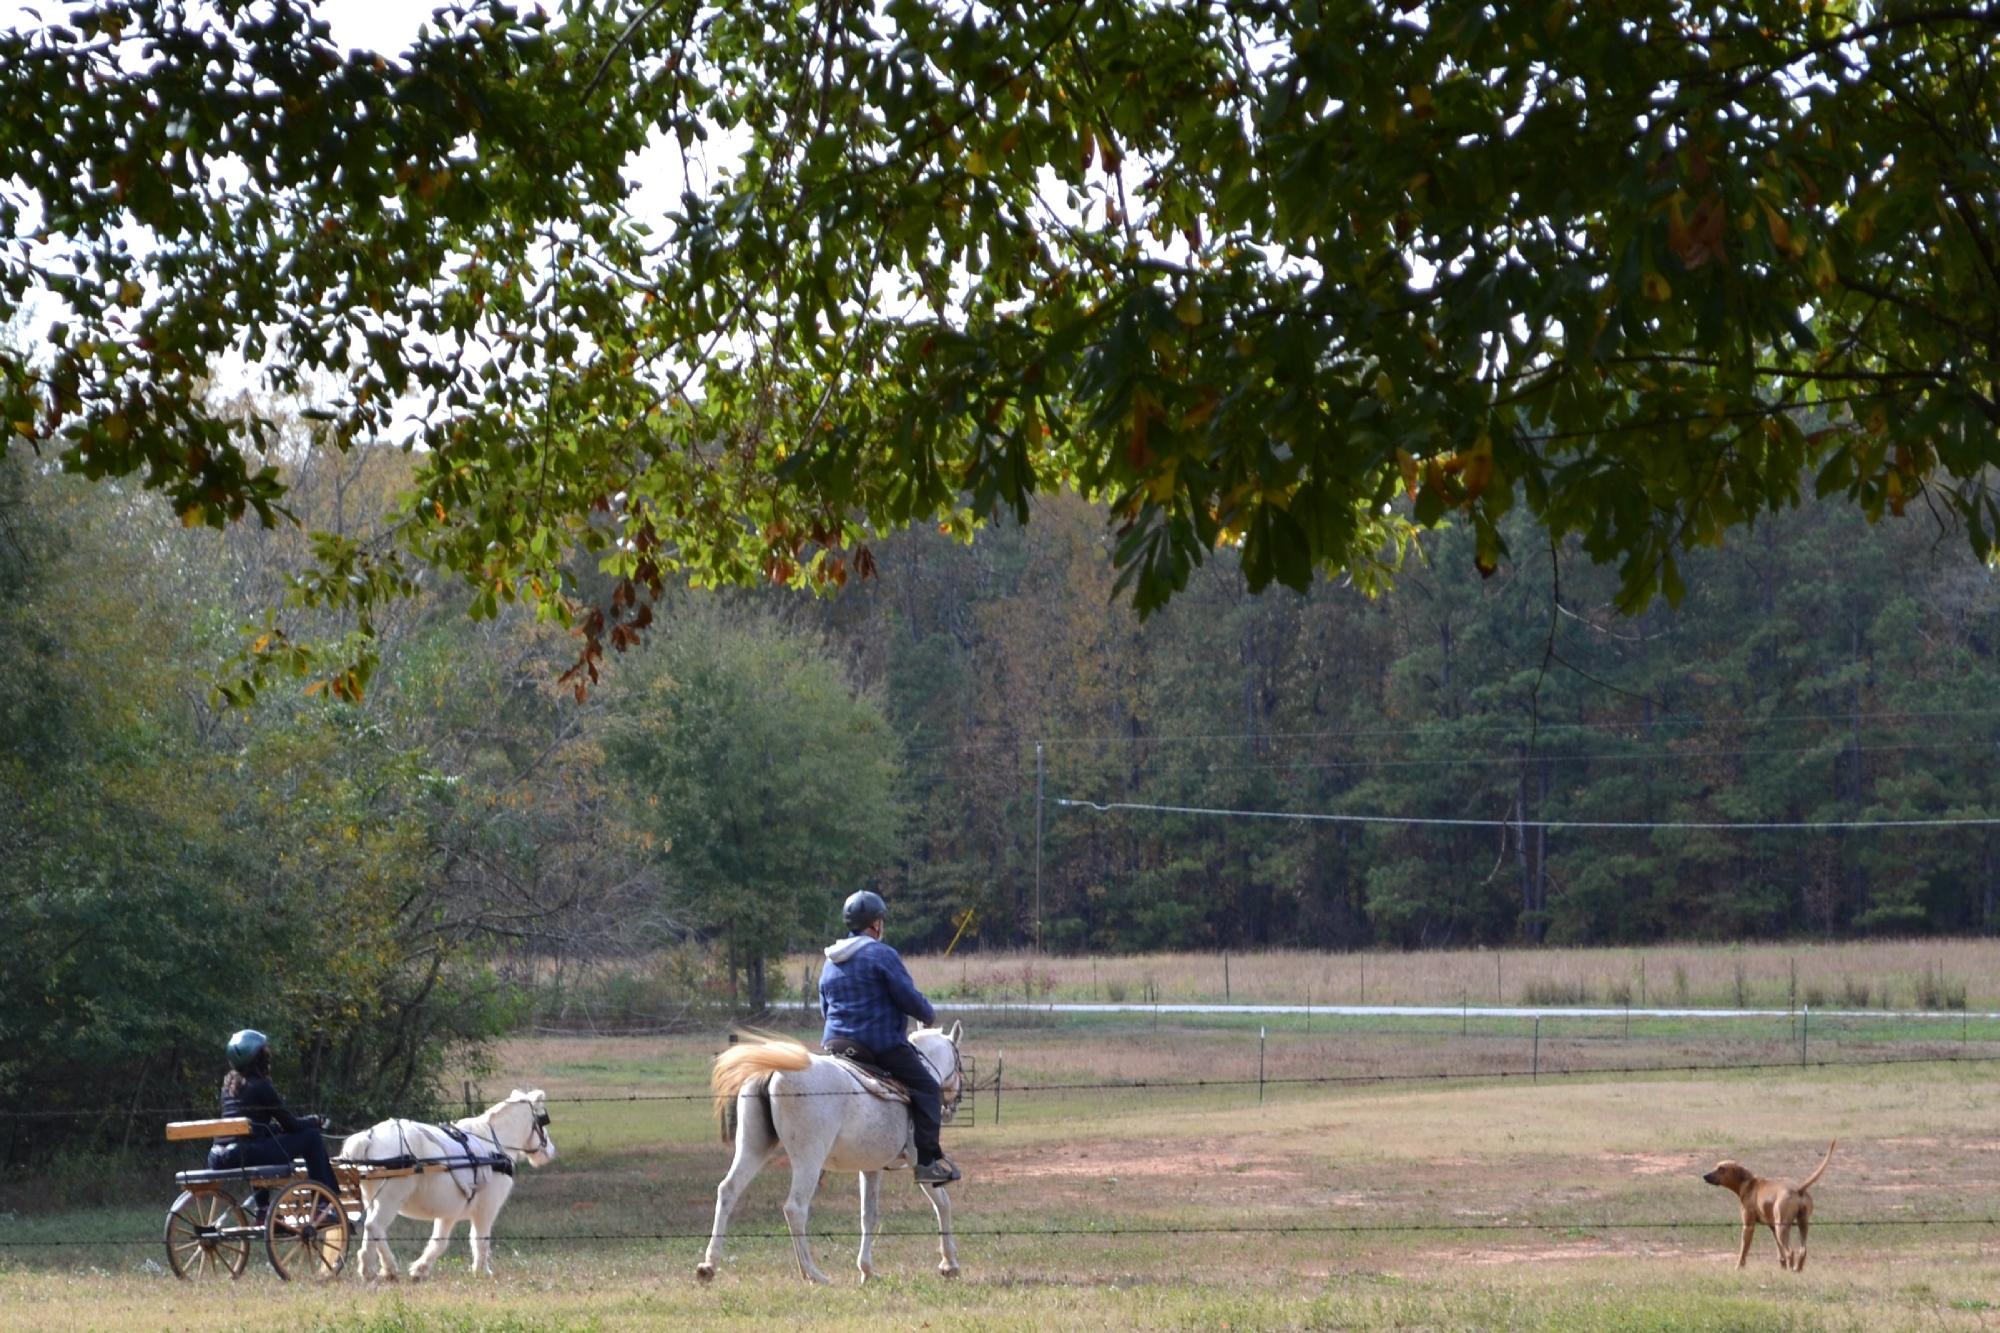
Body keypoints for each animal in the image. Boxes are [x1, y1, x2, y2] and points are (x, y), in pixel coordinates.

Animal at [336, 1088, 556, 1280]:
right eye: (542, 1120)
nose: (551, 1151)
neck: (493, 1146)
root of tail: (369, 1137)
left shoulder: (449, 1213)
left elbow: (439, 1242)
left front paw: (421, 1269)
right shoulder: (487, 1209)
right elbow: (480, 1239)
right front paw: (482, 1271)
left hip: (374, 1199)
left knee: (374, 1230)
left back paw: (381, 1267)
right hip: (390, 1199)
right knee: (374, 1226)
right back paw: (376, 1268)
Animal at [692, 1020, 964, 1280]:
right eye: (960, 1063)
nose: (953, 1106)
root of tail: (774, 1071)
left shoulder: (870, 1167)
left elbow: (868, 1215)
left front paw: (867, 1270)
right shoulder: (919, 1161)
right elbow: (943, 1203)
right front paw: (949, 1264)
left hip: (752, 1147)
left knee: (728, 1191)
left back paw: (709, 1265)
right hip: (808, 1159)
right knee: (795, 1208)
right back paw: (812, 1273)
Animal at [1696, 1128, 1832, 1264]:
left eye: (1721, 1169)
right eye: (1716, 1166)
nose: (1705, 1176)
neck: (1749, 1183)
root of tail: (1798, 1190)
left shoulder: (1748, 1227)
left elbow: (1742, 1255)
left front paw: (1738, 1266)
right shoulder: (1772, 1227)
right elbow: (1780, 1254)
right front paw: (1782, 1263)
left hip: (1782, 1228)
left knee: (1790, 1252)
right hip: (1801, 1225)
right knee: (1802, 1251)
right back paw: (1796, 1267)